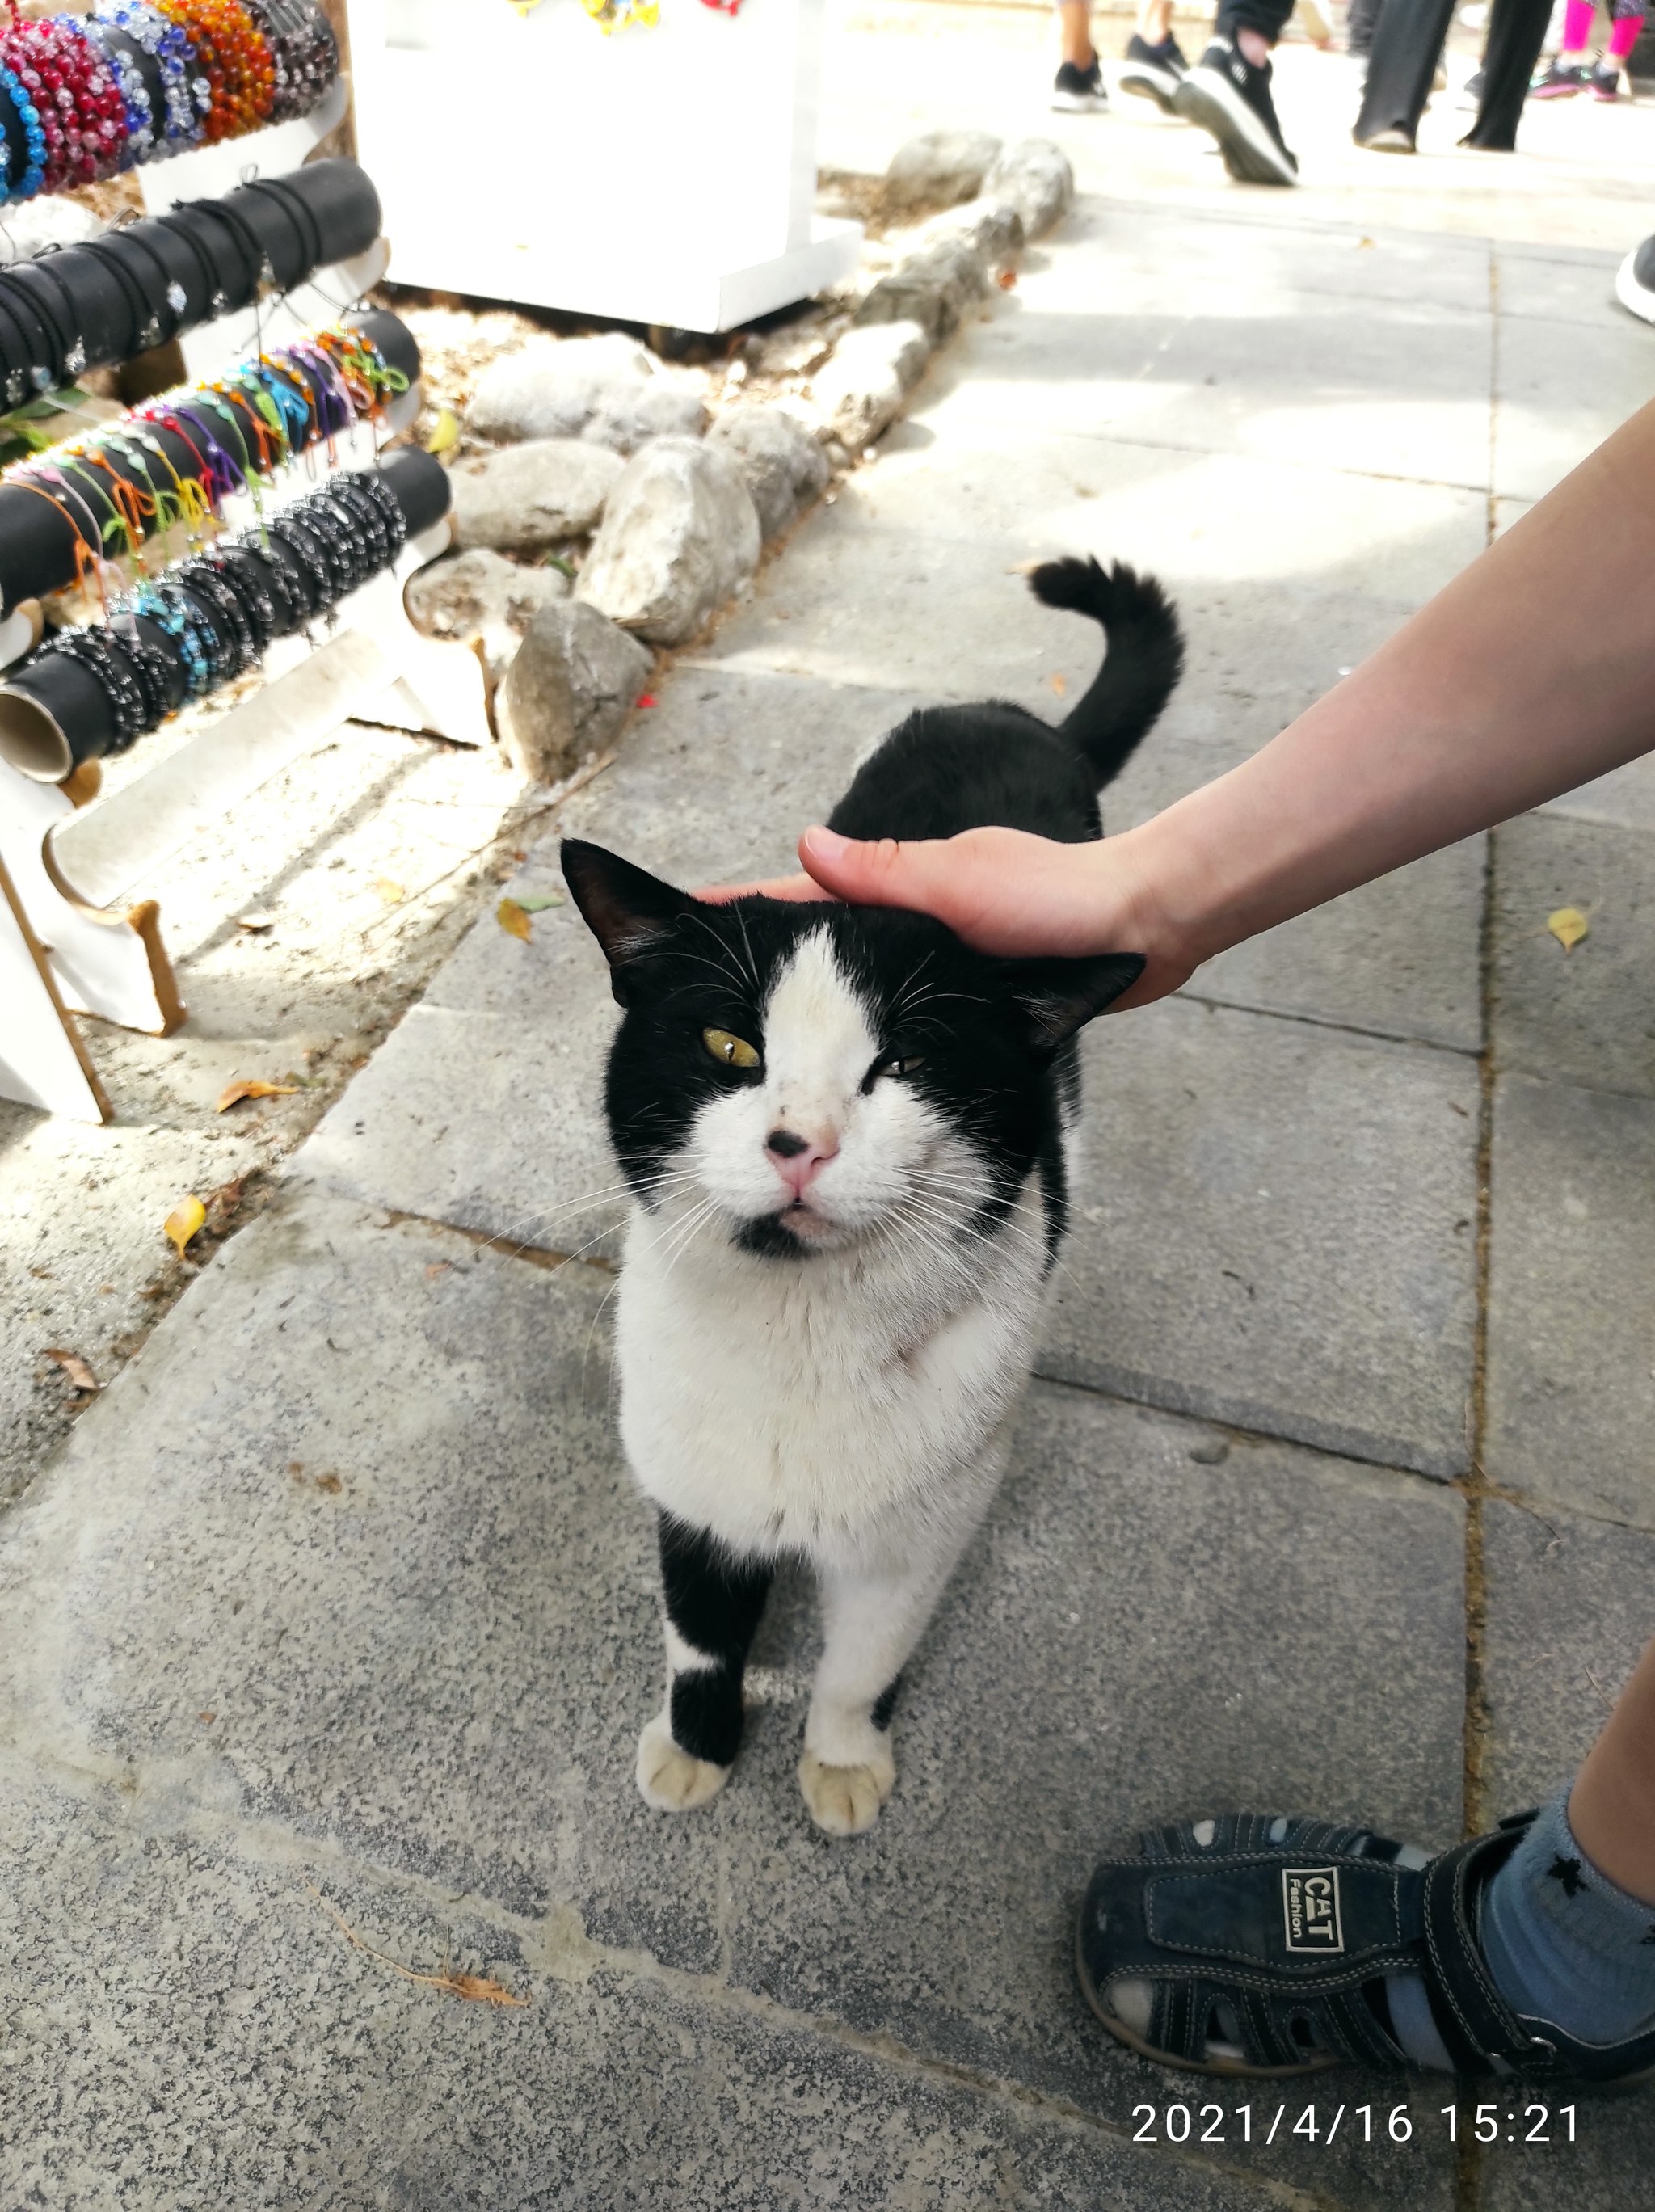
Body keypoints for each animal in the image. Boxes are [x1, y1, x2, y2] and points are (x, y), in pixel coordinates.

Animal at [562, 562, 1185, 1840]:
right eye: (729, 1044)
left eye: (900, 1064)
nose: (800, 1145)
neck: (796, 1343)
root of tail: (1012, 713)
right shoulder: (694, 1490)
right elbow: (701, 1634)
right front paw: (696, 1748)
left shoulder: (918, 1534)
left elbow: (862, 1659)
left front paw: (843, 1760)